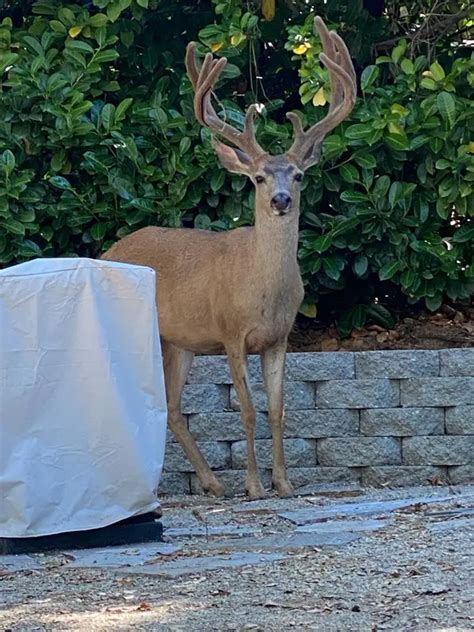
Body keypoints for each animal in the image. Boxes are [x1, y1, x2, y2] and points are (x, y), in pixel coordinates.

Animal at [103, 17, 356, 498]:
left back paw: (212, 483)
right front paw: (255, 486)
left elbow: (277, 410)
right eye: (257, 177)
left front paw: (283, 483)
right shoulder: (230, 332)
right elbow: (248, 410)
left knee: (172, 406)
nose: (280, 200)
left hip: (179, 341)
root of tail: (109, 250)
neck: (263, 288)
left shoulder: (279, 337)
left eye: (298, 175)